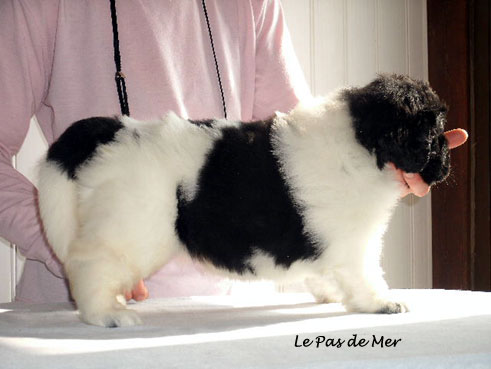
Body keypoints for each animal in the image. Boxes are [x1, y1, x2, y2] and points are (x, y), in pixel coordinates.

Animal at [38, 74, 452, 324]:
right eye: (435, 131)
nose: (447, 158)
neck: (363, 138)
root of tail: (112, 128)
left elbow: (326, 270)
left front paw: (331, 293)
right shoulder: (355, 239)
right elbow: (366, 273)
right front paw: (382, 303)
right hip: (131, 226)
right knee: (91, 263)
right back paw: (106, 312)